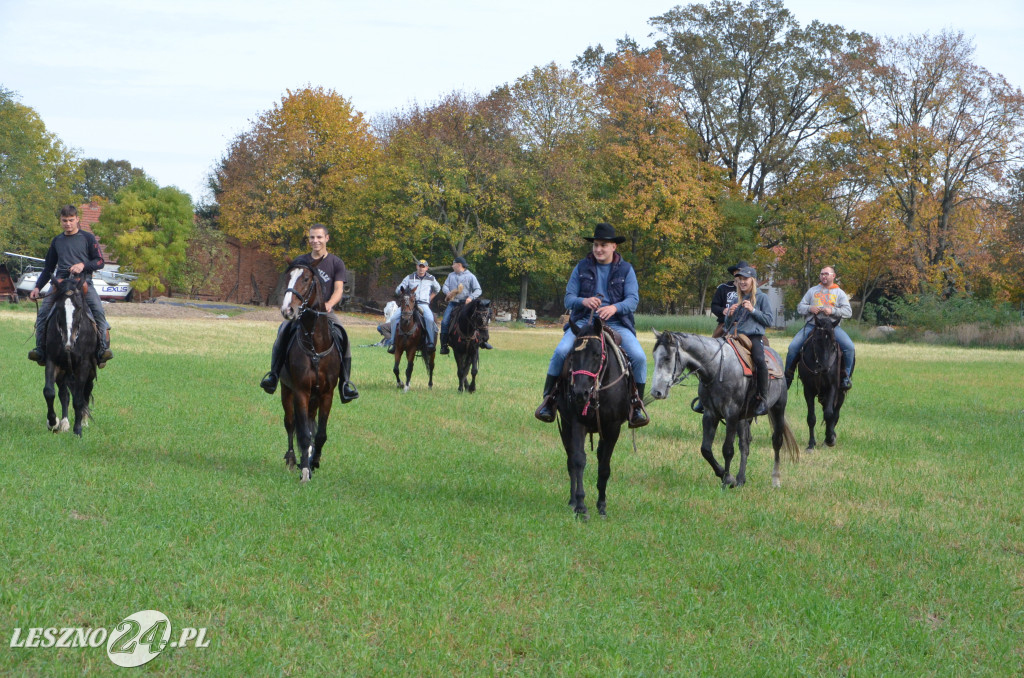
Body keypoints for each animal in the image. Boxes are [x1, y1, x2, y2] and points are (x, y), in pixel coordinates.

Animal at [42, 274, 97, 438]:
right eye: (59, 307)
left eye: (78, 307)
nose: (68, 342)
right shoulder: (52, 361)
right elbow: (49, 392)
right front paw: (53, 422)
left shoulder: (84, 366)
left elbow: (78, 400)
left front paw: (78, 430)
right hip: (63, 371)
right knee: (64, 394)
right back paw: (64, 423)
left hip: (89, 372)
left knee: (86, 392)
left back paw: (83, 421)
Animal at [276, 261, 339, 483]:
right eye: (288, 278)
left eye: (305, 279)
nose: (288, 309)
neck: (316, 347)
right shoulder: (300, 392)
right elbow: (302, 433)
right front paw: (304, 470)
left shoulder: (327, 394)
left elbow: (319, 434)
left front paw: (314, 461)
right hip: (286, 391)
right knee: (290, 424)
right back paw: (291, 459)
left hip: (315, 398)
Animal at [552, 315, 630, 518]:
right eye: (573, 355)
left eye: (596, 354)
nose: (580, 393)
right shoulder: (577, 423)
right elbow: (578, 460)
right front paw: (580, 506)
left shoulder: (613, 428)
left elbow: (604, 466)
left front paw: (602, 505)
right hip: (565, 426)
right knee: (570, 459)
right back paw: (572, 501)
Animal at [647, 329, 798, 489]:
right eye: (654, 357)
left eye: (667, 358)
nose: (656, 392)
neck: (718, 368)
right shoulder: (710, 414)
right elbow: (706, 449)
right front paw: (726, 476)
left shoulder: (731, 414)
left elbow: (727, 450)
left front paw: (727, 481)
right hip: (744, 418)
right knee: (744, 444)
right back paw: (741, 479)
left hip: (778, 409)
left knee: (777, 441)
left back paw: (775, 480)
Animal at [790, 315, 847, 454]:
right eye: (816, 340)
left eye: (833, 343)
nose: (825, 368)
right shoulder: (808, 390)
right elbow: (811, 418)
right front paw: (811, 444)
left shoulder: (832, 387)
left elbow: (829, 414)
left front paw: (830, 439)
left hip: (840, 393)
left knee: (835, 414)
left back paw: (830, 437)